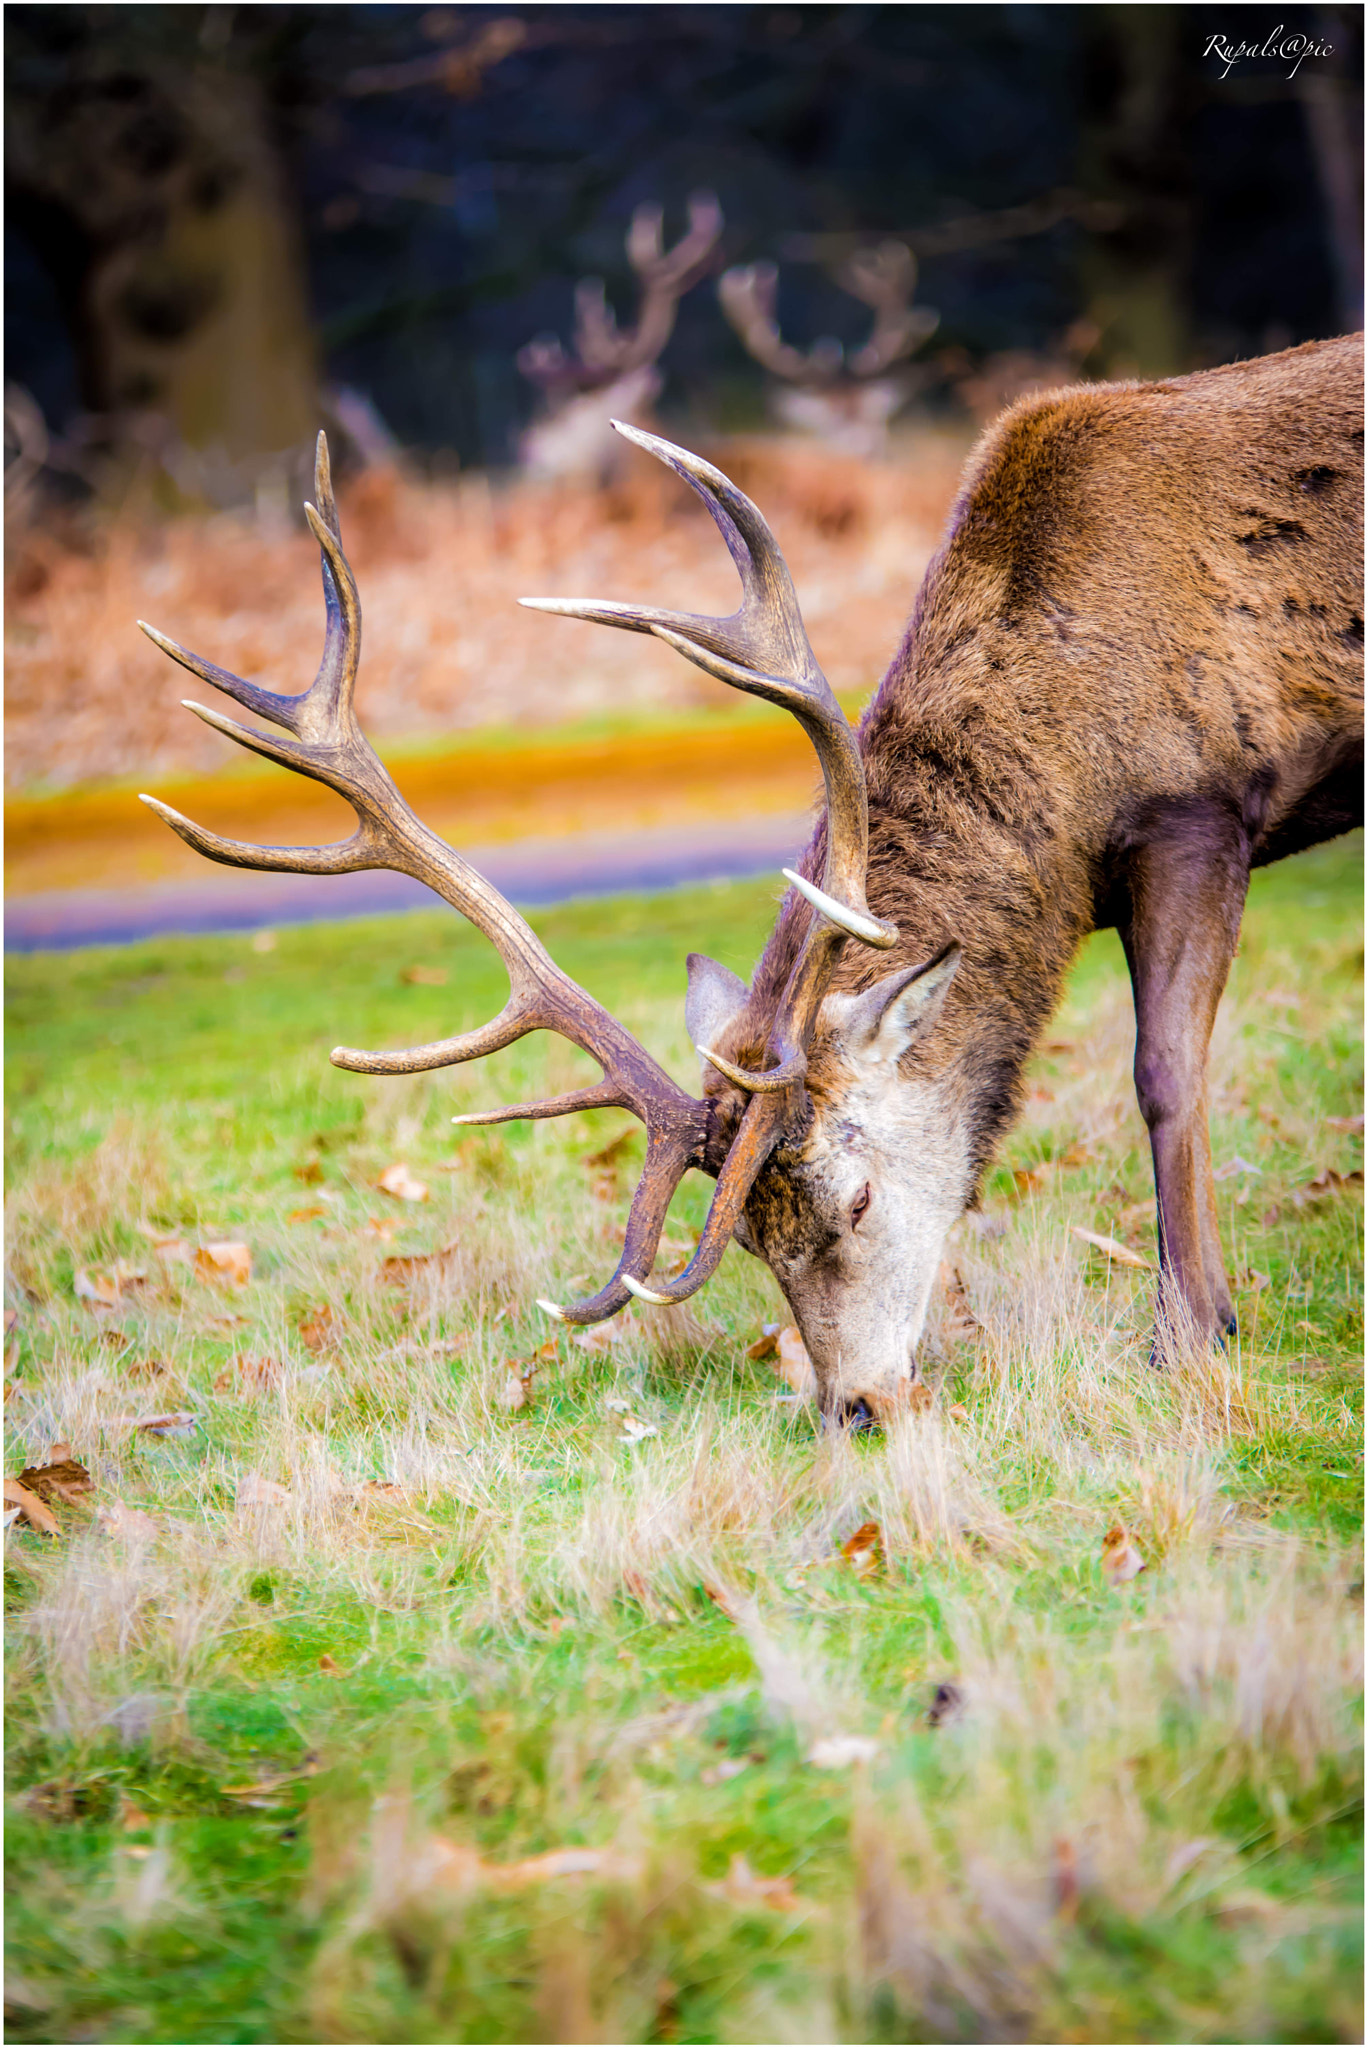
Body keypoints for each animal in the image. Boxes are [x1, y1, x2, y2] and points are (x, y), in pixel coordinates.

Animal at [141, 331, 1368, 1425]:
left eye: (859, 1195)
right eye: (752, 1241)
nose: (857, 1408)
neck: (1065, 789)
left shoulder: (1200, 808)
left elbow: (1165, 1073)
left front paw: (1191, 1331)